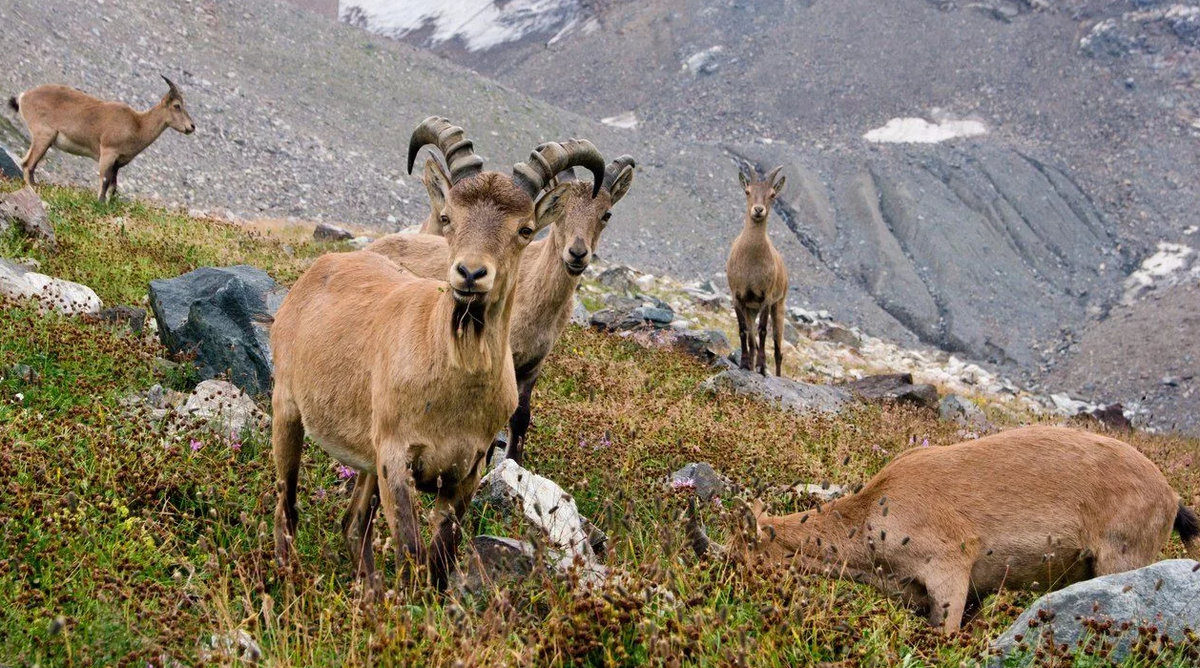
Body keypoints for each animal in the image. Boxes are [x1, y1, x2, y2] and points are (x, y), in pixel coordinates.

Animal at [8, 76, 194, 201]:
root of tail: (24, 96)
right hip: (44, 135)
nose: (191, 126)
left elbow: (113, 186)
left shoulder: (117, 164)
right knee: (29, 164)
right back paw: (34, 189)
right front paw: (99, 204)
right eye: (177, 105)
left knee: (25, 161)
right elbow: (104, 181)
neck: (137, 124)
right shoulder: (108, 152)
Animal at [273, 116, 609, 585]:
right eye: (448, 217)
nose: (469, 272)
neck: (454, 385)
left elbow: (441, 560)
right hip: (288, 410)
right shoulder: (396, 458)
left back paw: (368, 592)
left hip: (365, 458)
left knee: (353, 523)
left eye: (525, 229)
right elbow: (413, 554)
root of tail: (323, 266)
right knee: (286, 507)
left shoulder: (466, 471)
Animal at [369, 154, 638, 462]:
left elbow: (521, 416)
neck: (534, 301)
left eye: (606, 214)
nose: (577, 254)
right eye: (561, 214)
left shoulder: (533, 365)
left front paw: (513, 461)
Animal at [691, 426, 1195, 628]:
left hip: (1121, 557)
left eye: (741, 557)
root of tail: (1171, 498)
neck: (876, 513)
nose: (722, 598)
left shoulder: (950, 568)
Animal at [724, 164, 792, 376]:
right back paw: (751, 364)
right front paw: (743, 364)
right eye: (748, 191)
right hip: (751, 309)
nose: (758, 210)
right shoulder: (738, 298)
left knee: (778, 350)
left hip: (779, 306)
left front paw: (762, 367)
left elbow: (763, 330)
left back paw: (774, 373)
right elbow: (743, 331)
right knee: (752, 340)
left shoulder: (766, 298)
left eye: (772, 194)